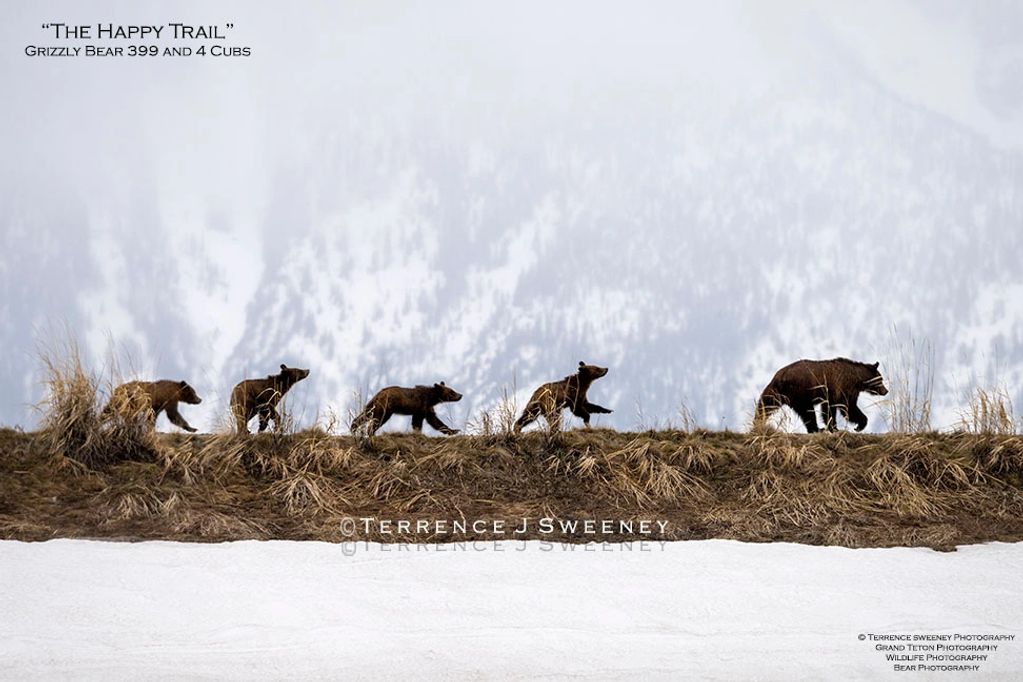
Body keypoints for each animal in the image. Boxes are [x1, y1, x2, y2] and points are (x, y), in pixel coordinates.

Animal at [752, 357, 887, 431]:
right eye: (881, 379)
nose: (886, 391)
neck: (858, 380)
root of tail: (780, 376)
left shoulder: (845, 392)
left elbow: (842, 407)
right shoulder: (840, 388)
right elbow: (846, 408)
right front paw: (854, 425)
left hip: (778, 393)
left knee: (766, 404)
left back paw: (757, 421)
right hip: (800, 391)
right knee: (808, 412)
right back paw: (817, 429)